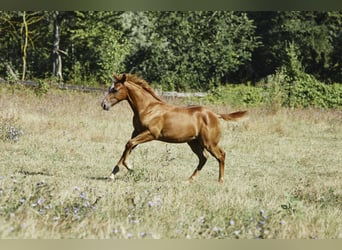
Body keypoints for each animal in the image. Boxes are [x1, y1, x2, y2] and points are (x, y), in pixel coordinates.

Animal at [100, 73, 247, 183]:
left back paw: (220, 180)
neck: (148, 108)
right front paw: (111, 175)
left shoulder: (151, 134)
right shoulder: (136, 132)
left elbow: (129, 145)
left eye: (115, 89)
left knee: (221, 155)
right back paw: (189, 179)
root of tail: (215, 115)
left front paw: (130, 167)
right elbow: (127, 148)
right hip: (194, 142)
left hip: (209, 142)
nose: (104, 105)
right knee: (203, 158)